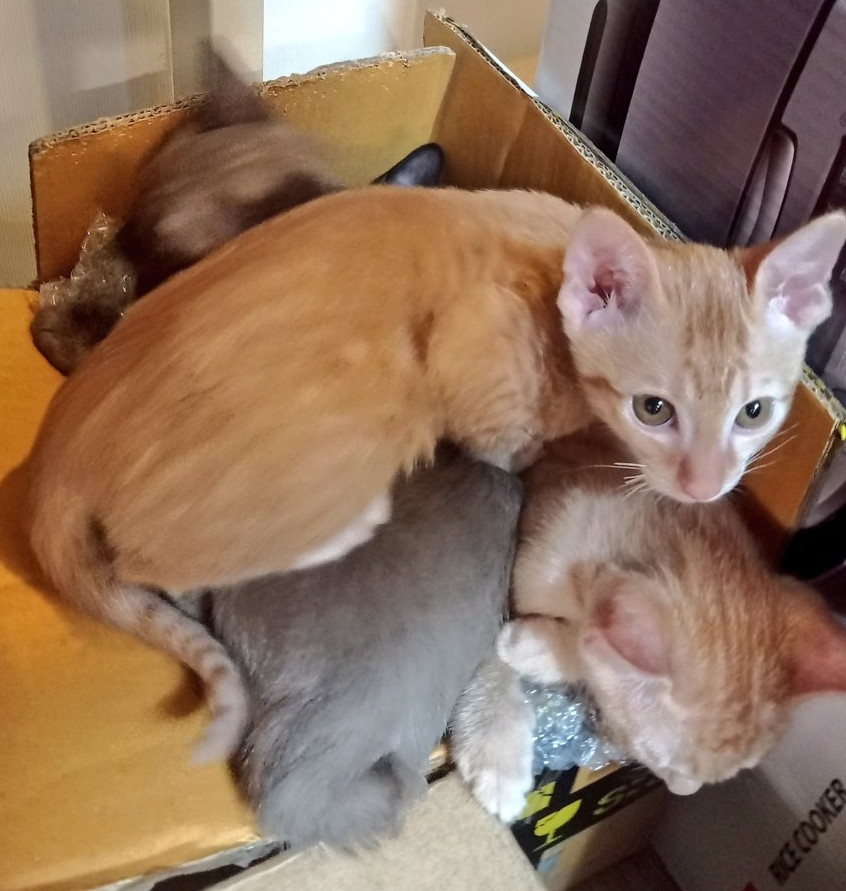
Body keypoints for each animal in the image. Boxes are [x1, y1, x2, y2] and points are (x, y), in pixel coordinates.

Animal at [23, 188, 844, 760]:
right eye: (654, 408)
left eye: (754, 412)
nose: (705, 486)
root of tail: (60, 454)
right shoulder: (472, 355)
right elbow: (501, 447)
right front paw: (527, 458)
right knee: (163, 564)